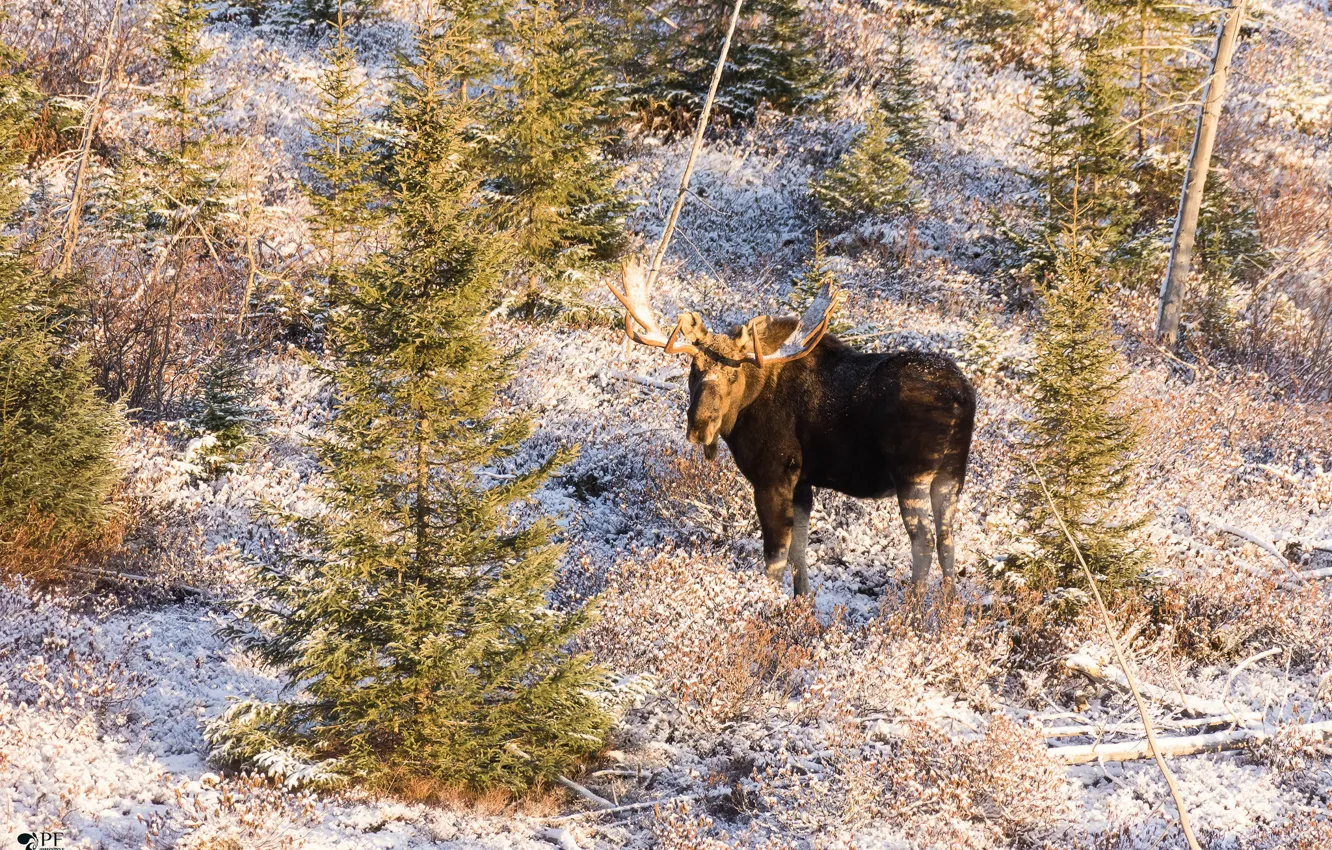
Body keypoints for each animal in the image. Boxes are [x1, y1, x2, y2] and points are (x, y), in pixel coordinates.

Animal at [608, 259, 976, 597]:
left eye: (733, 374)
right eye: (693, 369)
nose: (700, 425)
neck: (744, 408)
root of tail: (963, 396)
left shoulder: (773, 475)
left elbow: (775, 558)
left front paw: (768, 604)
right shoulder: (802, 482)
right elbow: (799, 550)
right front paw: (802, 602)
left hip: (913, 474)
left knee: (923, 540)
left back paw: (913, 611)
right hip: (951, 473)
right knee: (947, 539)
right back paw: (948, 607)